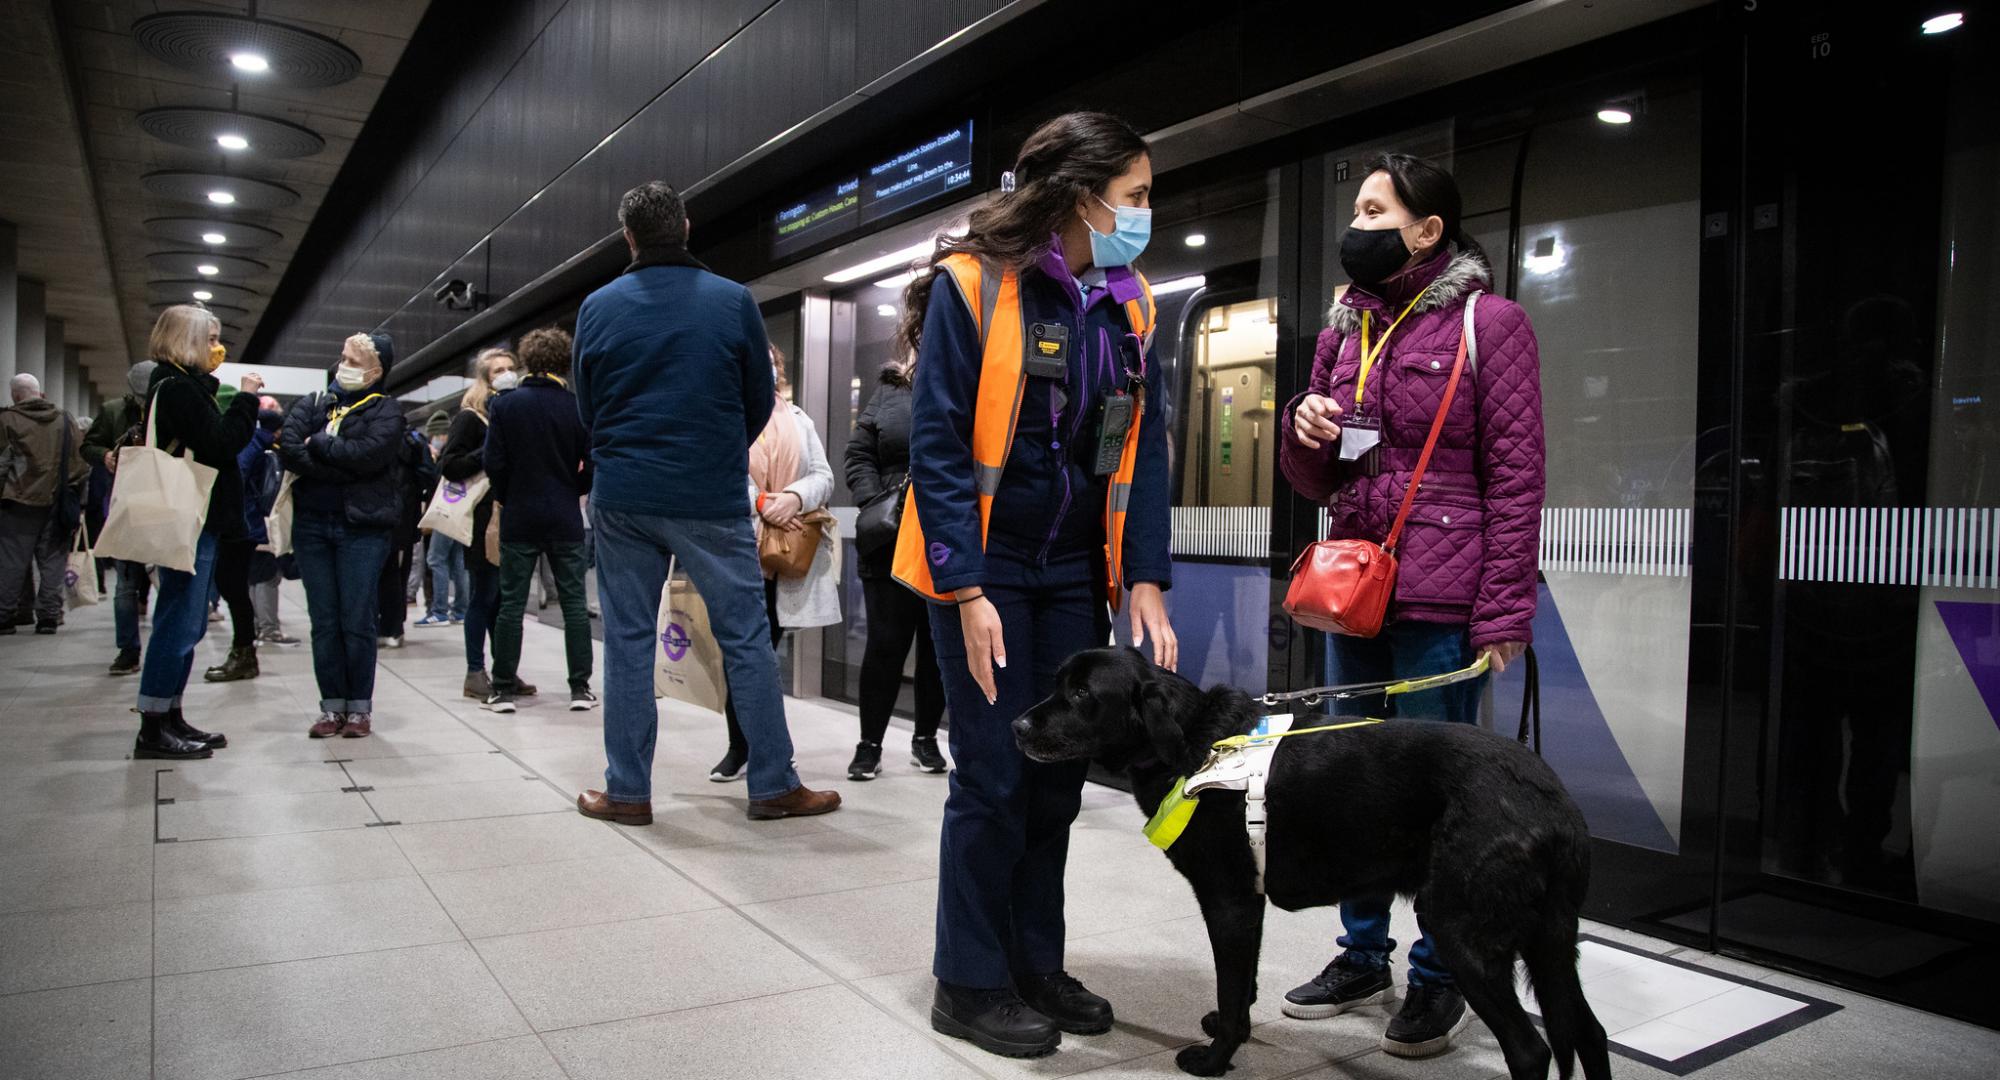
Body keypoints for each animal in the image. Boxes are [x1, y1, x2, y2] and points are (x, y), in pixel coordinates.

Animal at [1016, 648, 1608, 1080]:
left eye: (1081, 693)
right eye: (1058, 683)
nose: (1018, 724)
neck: (1196, 741)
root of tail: (1556, 802)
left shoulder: (1228, 900)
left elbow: (1231, 986)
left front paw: (1215, 1059)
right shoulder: (1247, 904)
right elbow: (1242, 984)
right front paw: (1229, 1032)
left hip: (1461, 929)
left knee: (1532, 1050)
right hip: (1550, 941)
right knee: (1589, 1034)